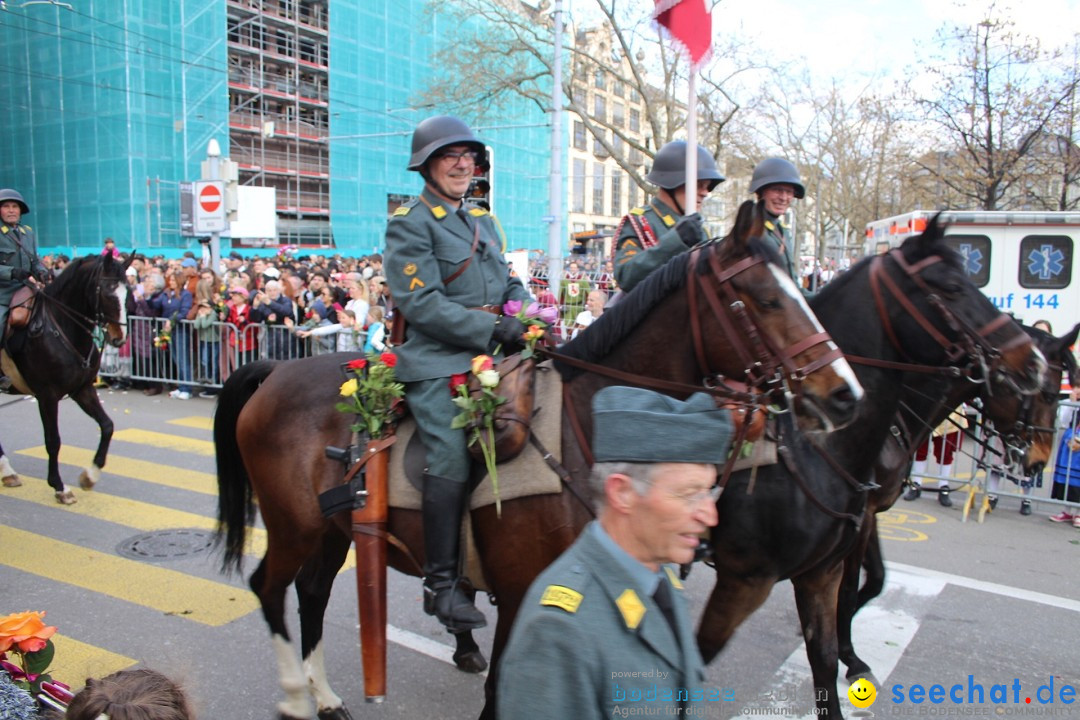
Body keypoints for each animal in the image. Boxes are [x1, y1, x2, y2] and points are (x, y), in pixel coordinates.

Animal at [214, 198, 864, 720]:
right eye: (764, 299)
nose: (844, 394)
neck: (589, 434)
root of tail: (278, 370)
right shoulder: (525, 591)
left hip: (333, 531)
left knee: (312, 593)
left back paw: (325, 697)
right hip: (294, 526)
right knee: (270, 588)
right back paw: (296, 696)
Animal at [833, 321, 1080, 682]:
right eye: (1048, 393)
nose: (1038, 462)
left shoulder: (871, 512)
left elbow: (876, 579)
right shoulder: (858, 514)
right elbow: (849, 585)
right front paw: (850, 656)